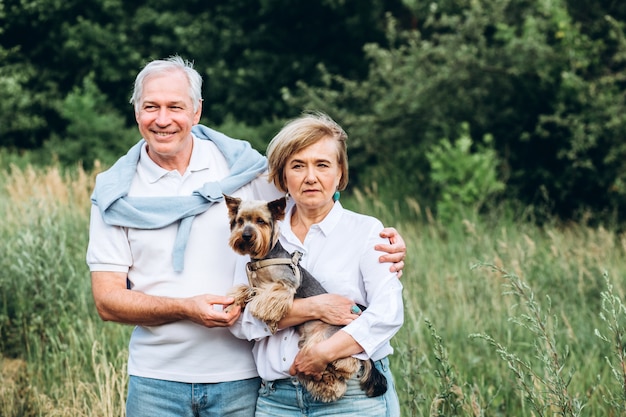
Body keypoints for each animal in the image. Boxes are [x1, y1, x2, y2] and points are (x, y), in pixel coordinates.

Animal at [222, 193, 388, 402]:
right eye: (240, 221)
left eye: (260, 221)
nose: (246, 235)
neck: (263, 258)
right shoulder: (254, 285)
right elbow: (245, 290)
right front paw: (232, 302)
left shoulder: (286, 283)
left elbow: (270, 294)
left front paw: (264, 311)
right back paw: (326, 385)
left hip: (325, 339)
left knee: (349, 361)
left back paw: (339, 369)